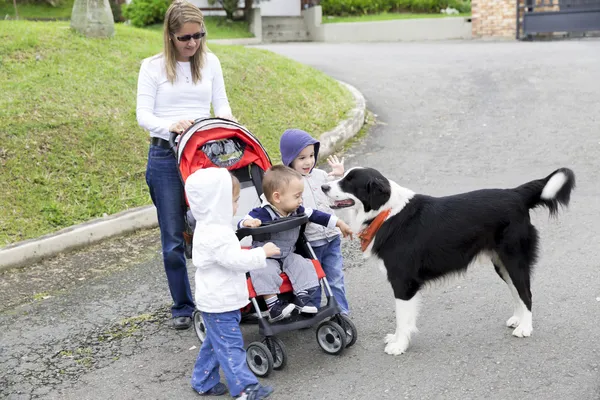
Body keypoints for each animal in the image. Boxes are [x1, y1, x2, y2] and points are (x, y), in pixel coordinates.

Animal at [324, 167, 576, 354]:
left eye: (348, 182)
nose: (323, 186)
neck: (387, 213)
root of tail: (515, 194)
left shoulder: (403, 282)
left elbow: (402, 318)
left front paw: (399, 345)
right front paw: (396, 339)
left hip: (514, 258)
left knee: (526, 293)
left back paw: (525, 328)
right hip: (501, 263)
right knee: (517, 291)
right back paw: (518, 319)